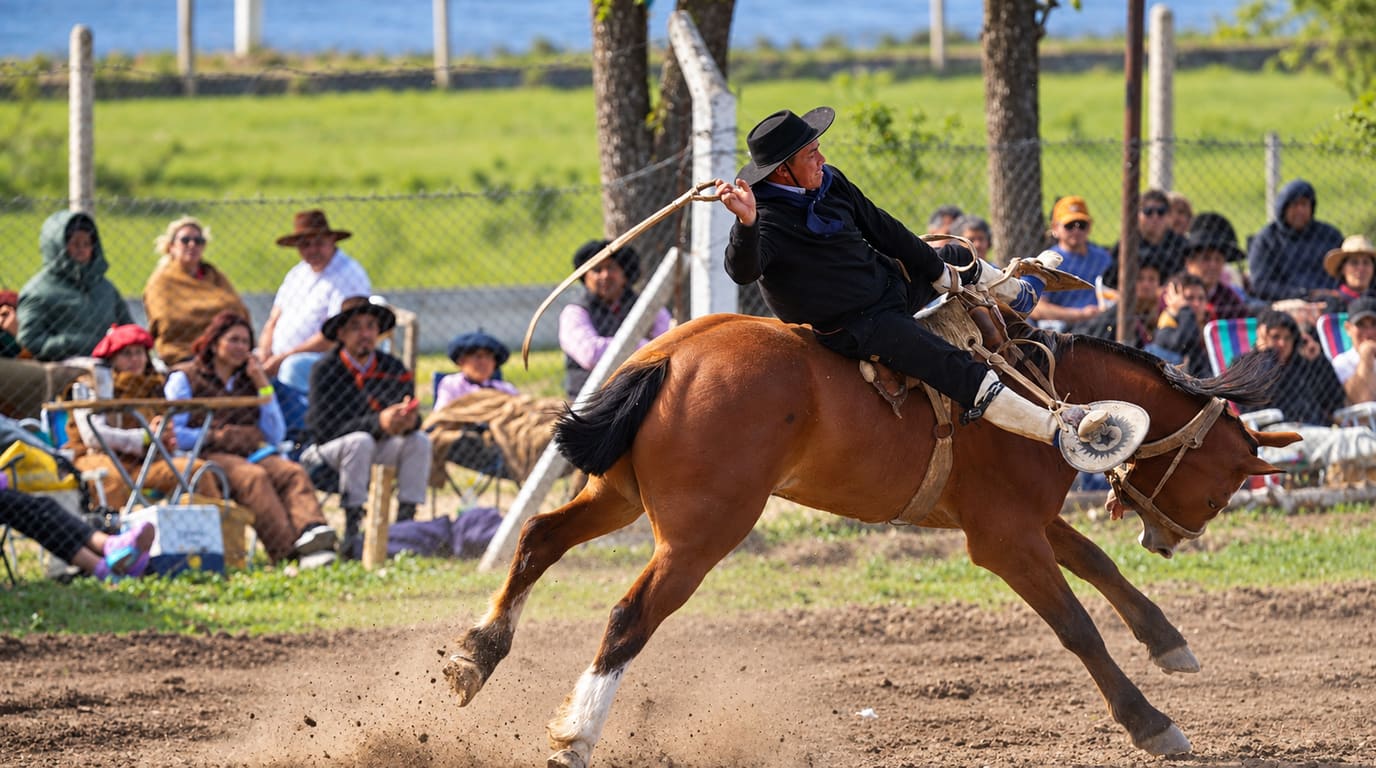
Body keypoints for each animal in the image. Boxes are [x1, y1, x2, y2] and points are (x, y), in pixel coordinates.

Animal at [443, 311, 1300, 768]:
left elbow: (1094, 562)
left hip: (617, 495)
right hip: (698, 536)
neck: (1050, 397)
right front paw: (1150, 721)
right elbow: (1077, 626)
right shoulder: (1004, 540)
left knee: (539, 539)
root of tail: (668, 356)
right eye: (1222, 487)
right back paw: (575, 733)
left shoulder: (1022, 519)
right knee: (628, 617)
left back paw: (476, 655)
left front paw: (1168, 640)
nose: (1172, 540)